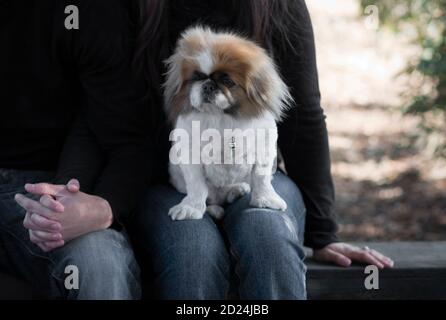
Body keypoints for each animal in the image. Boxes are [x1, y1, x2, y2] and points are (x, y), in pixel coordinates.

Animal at [164, 26, 292, 220]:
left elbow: (261, 179)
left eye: (227, 81)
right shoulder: (191, 157)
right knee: (212, 196)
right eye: (197, 77)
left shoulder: (263, 150)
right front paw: (191, 208)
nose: (208, 85)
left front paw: (266, 200)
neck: (221, 118)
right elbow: (196, 187)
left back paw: (238, 190)